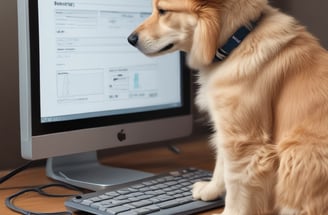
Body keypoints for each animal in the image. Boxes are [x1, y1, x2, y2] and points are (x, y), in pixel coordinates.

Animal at [127, 0, 328, 215]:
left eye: (163, 11)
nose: (130, 39)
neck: (237, 42)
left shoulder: (244, 140)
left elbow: (236, 184)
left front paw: (231, 211)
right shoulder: (226, 125)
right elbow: (221, 165)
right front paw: (210, 189)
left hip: (297, 149)